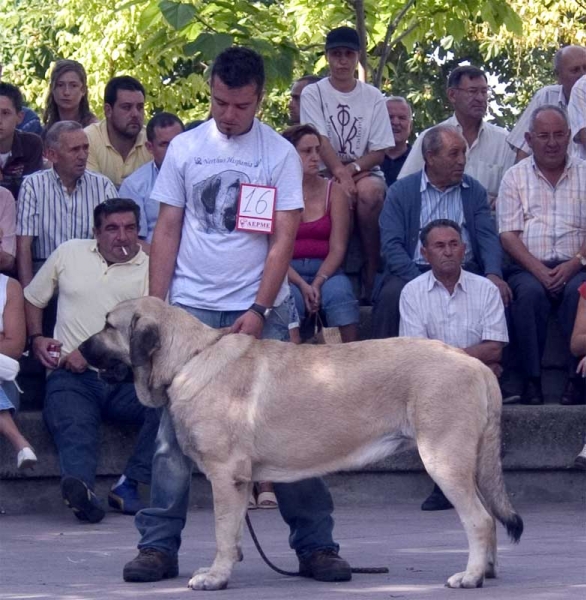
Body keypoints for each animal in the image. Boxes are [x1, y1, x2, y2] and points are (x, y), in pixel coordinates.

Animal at [80, 296, 524, 592]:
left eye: (108, 325)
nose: (79, 349)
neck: (189, 358)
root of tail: (477, 365)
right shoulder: (238, 482)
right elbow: (234, 533)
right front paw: (225, 569)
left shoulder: (225, 476)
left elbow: (223, 531)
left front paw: (215, 577)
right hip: (469, 462)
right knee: (489, 516)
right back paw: (487, 570)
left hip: (444, 458)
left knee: (479, 519)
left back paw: (470, 576)